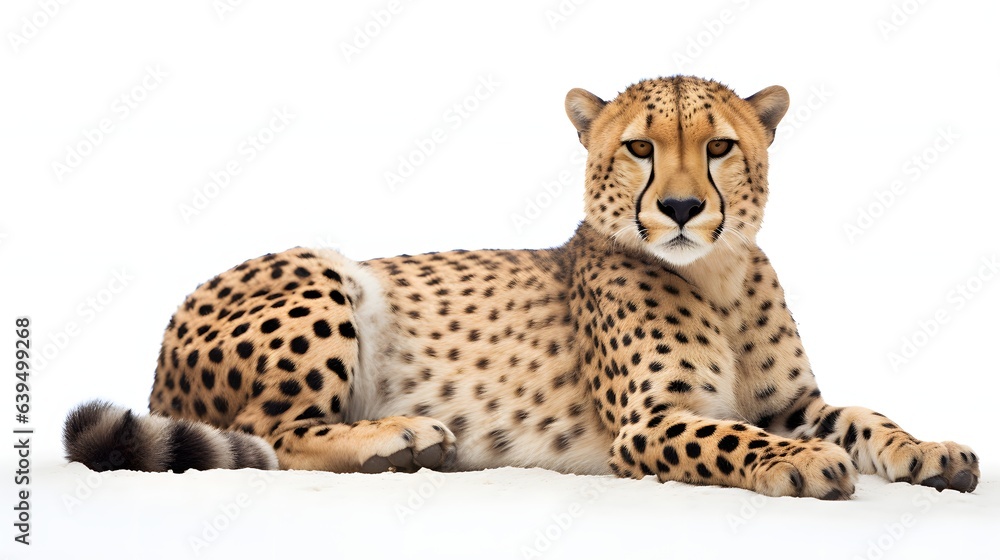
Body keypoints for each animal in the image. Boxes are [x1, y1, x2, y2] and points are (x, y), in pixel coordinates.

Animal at [64, 75, 980, 499]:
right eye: (640, 148)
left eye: (719, 146)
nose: (683, 208)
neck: (715, 274)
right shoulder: (648, 425)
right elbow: (737, 437)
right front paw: (802, 463)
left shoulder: (792, 400)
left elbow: (864, 415)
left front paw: (931, 448)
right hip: (322, 269)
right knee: (266, 435)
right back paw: (399, 439)